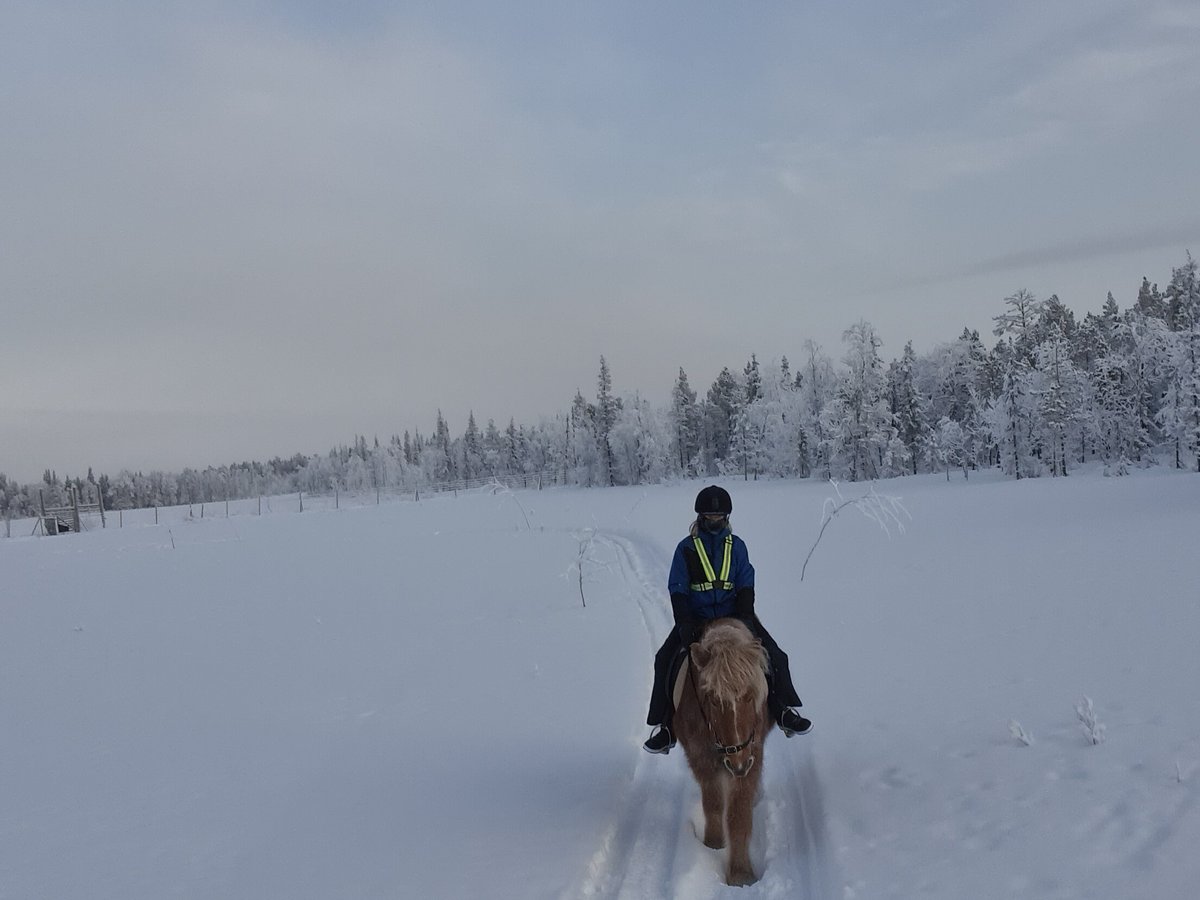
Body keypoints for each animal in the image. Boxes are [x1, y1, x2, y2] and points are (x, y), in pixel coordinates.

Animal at [672, 619, 772, 888]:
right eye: (713, 700)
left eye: (749, 695)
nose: (737, 762)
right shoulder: (702, 758)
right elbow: (714, 804)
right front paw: (713, 845)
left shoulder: (751, 757)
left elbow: (738, 816)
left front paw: (740, 875)